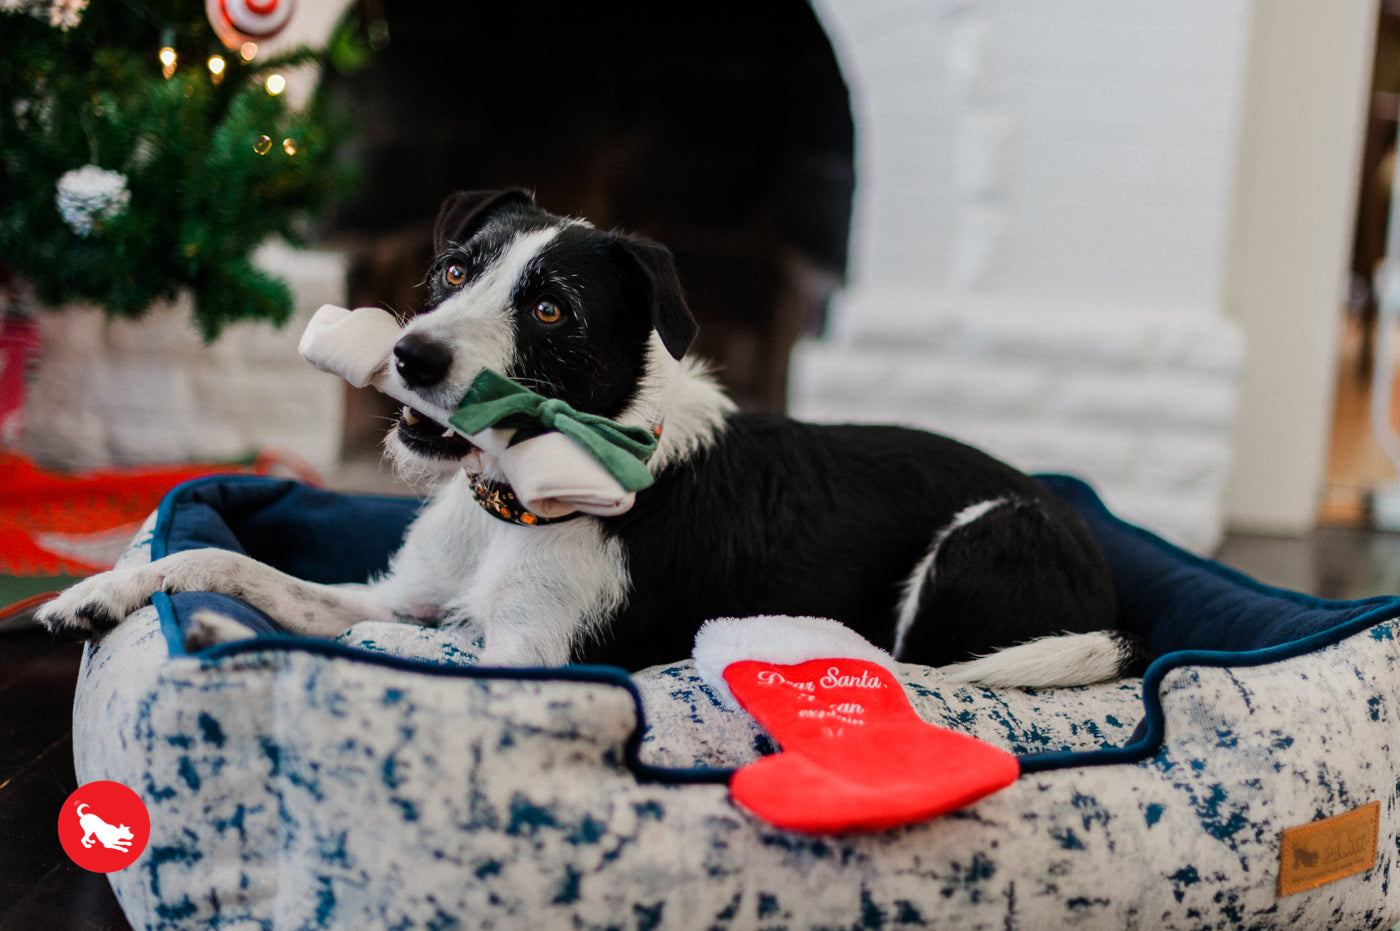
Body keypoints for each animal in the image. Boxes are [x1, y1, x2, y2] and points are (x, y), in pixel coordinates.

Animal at [40, 190, 1136, 683]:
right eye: (455, 270)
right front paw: (106, 591)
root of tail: (1109, 592)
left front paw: (235, 644)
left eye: (551, 310)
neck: (514, 500)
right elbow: (225, 561)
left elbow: (391, 653)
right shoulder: (402, 594)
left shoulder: (536, 657)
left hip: (985, 535)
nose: (409, 355)